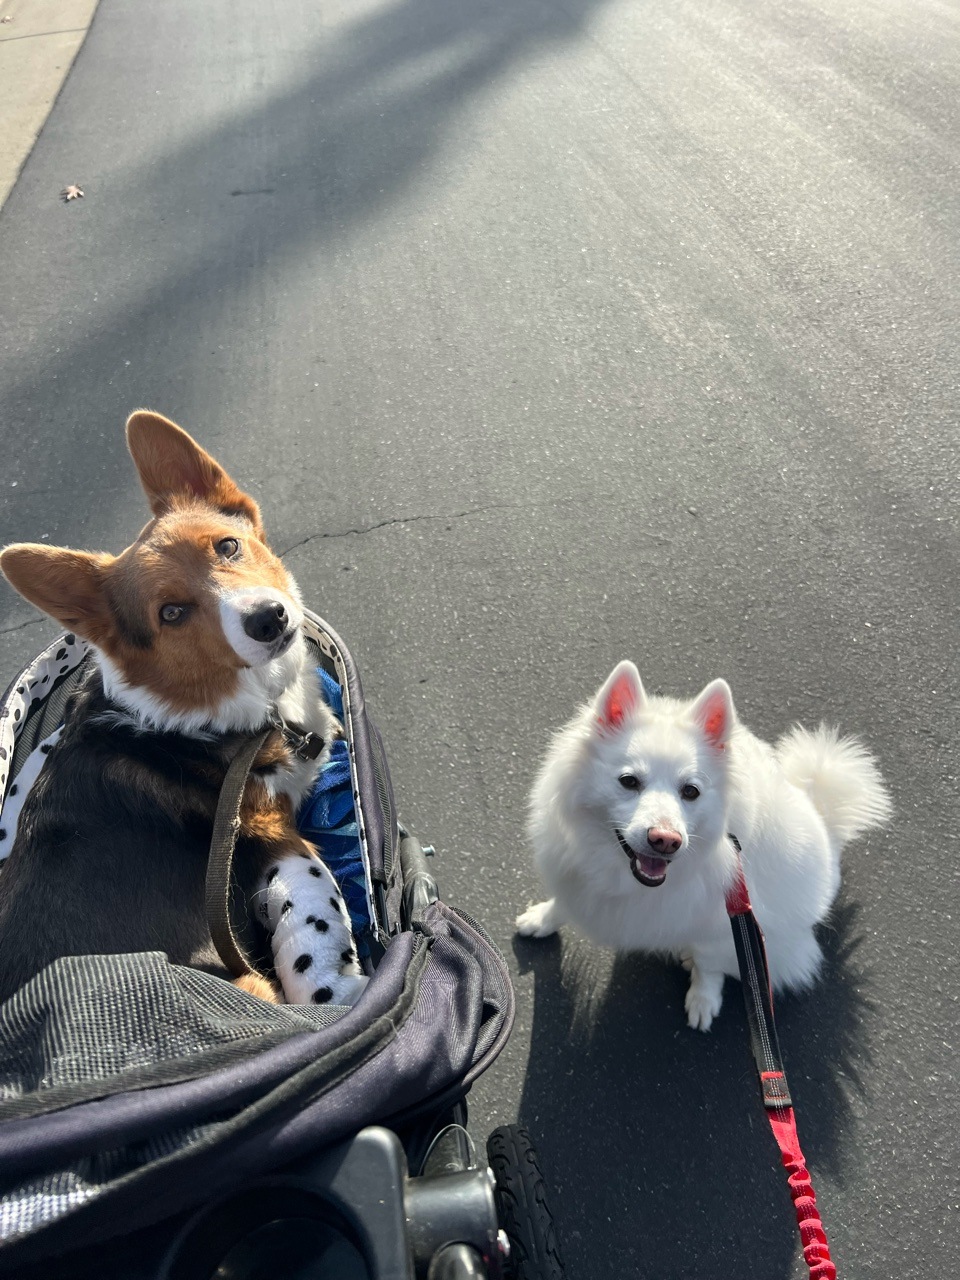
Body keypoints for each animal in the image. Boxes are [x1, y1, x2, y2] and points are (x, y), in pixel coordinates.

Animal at [519, 660, 896, 1029]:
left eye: (691, 791)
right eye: (628, 781)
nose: (666, 840)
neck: (621, 874)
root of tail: (826, 827)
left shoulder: (722, 928)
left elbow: (709, 967)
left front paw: (703, 1001)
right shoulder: (578, 881)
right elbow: (564, 903)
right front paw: (541, 919)